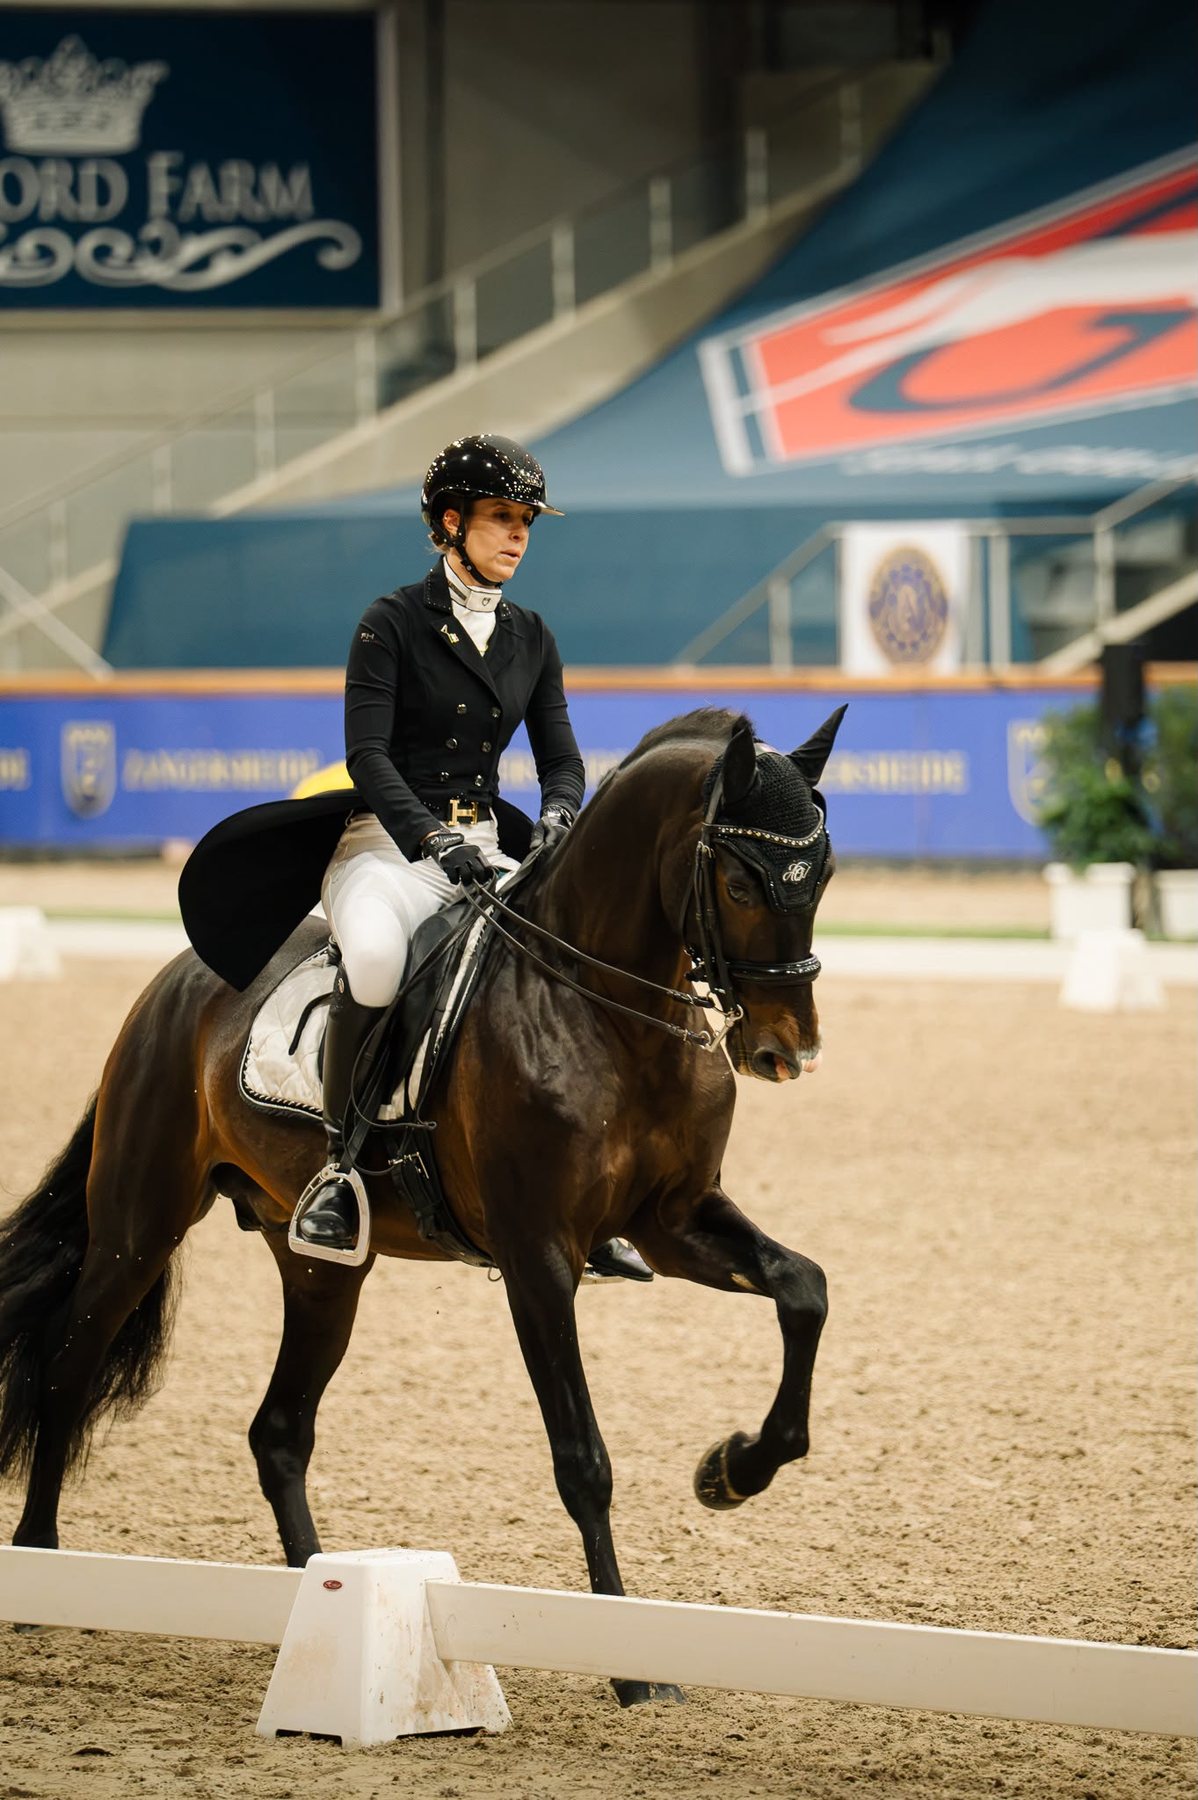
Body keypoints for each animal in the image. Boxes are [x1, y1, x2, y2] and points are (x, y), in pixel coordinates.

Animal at [0, 704, 844, 1707]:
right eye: (744, 878)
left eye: (823, 873)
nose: (789, 1051)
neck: (607, 1010)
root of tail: (175, 981)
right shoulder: (536, 1257)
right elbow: (583, 1460)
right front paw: (632, 1668)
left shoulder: (674, 1221)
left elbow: (804, 1289)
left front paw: (731, 1471)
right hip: (138, 1227)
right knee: (67, 1367)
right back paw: (41, 1568)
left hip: (323, 1272)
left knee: (278, 1431)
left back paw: (318, 1595)